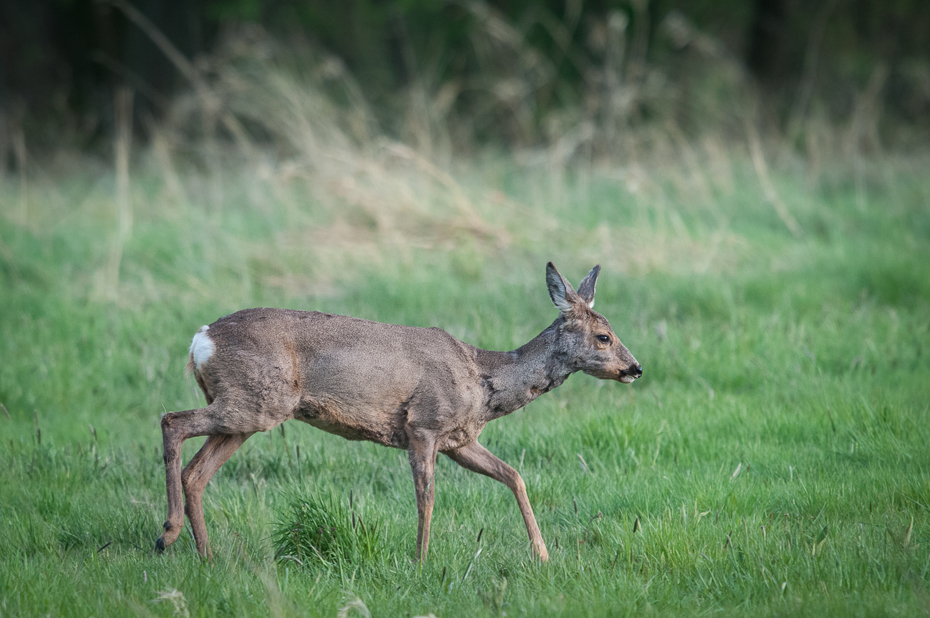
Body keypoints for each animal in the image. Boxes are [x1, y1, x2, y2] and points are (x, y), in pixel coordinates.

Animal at [156, 260, 640, 560]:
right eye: (604, 337)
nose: (635, 368)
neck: (483, 379)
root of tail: (201, 339)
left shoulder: (459, 440)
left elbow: (514, 476)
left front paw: (542, 554)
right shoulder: (423, 424)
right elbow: (427, 497)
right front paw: (422, 560)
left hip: (246, 411)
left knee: (196, 471)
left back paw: (206, 554)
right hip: (255, 404)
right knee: (171, 421)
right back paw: (168, 534)